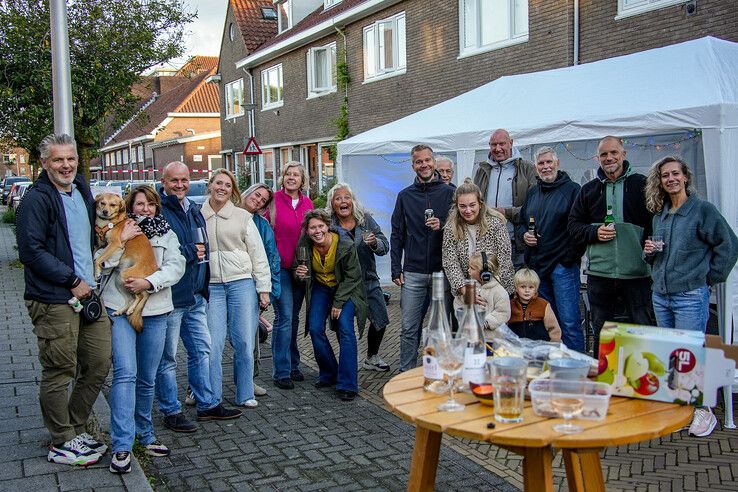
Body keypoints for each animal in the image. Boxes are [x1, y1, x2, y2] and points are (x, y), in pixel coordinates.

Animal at [93, 192, 158, 330]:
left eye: (113, 205)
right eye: (102, 202)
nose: (105, 212)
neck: (111, 222)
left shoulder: (114, 244)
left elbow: (99, 259)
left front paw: (97, 273)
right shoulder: (101, 244)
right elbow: (94, 255)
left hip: (127, 277)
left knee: (141, 296)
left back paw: (131, 309)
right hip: (121, 281)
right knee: (132, 298)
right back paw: (121, 310)